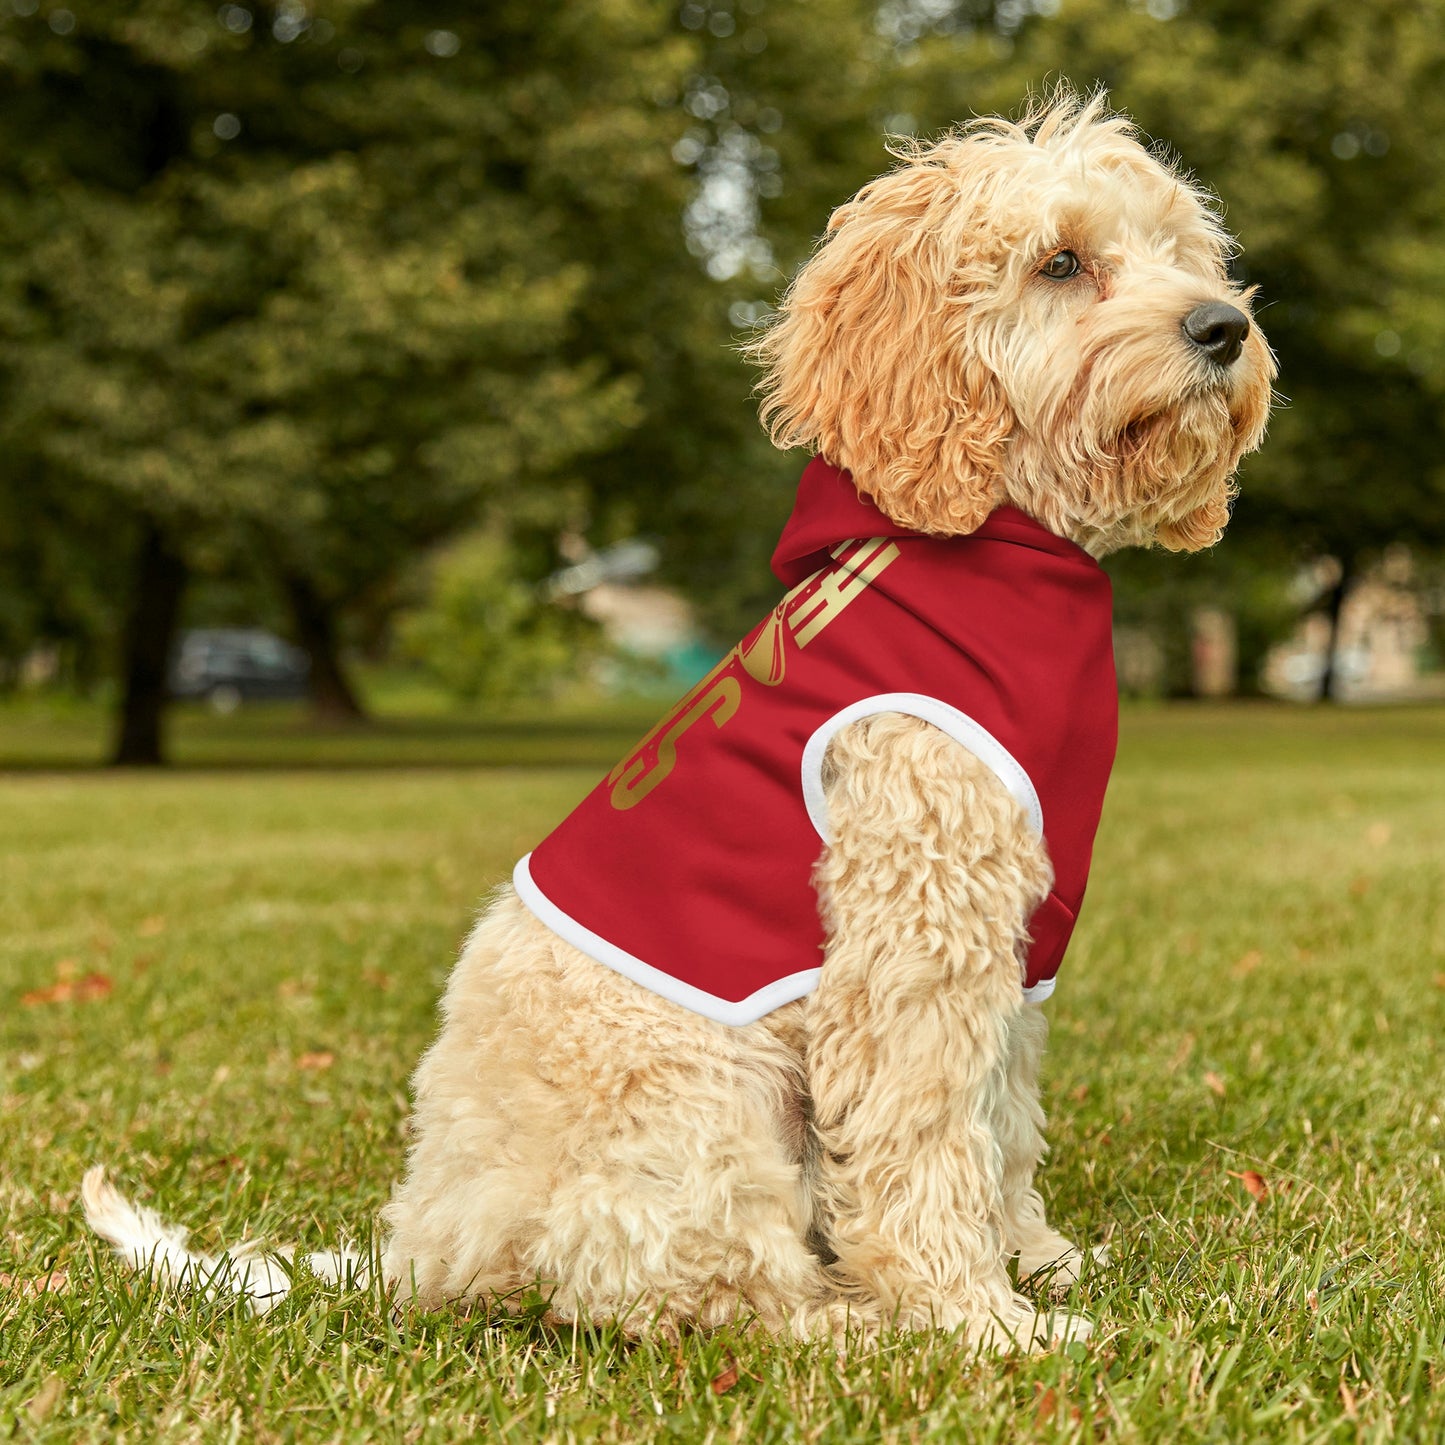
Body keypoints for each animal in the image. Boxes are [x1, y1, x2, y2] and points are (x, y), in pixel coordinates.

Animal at [84, 93, 1271, 1352]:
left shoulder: (1011, 944)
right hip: (705, 1102)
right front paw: (976, 1318)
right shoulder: (913, 935)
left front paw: (1034, 1260)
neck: (998, 546)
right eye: (1059, 262)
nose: (1222, 327)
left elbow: (999, 1121)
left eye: (1180, 252)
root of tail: (424, 1245)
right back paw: (852, 1322)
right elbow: (924, 1138)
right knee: (698, 1291)